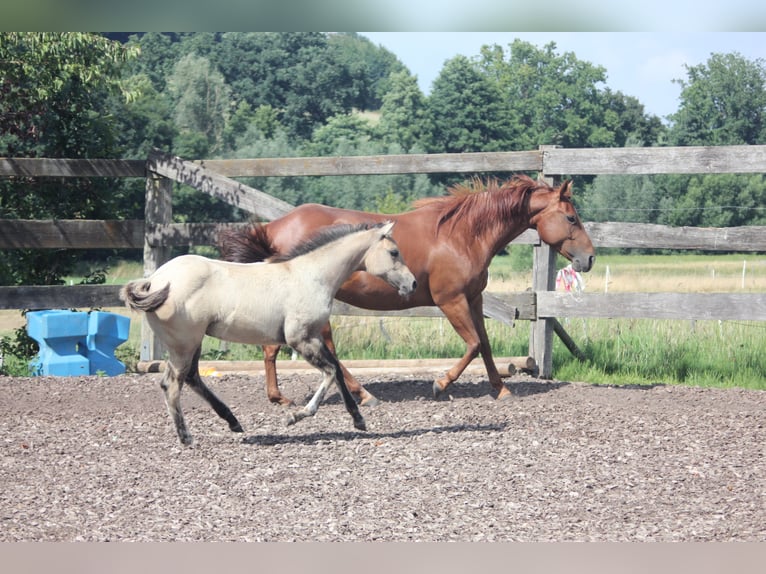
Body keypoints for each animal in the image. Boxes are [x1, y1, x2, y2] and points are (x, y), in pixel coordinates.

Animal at [121, 221, 416, 445]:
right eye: (393, 252)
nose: (412, 283)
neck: (311, 275)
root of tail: (154, 281)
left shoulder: (314, 336)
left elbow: (337, 371)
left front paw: (358, 419)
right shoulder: (299, 338)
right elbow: (332, 372)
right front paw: (296, 416)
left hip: (192, 343)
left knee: (192, 378)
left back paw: (233, 422)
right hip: (184, 343)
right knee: (172, 384)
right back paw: (187, 437)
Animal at [219, 175, 596, 407]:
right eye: (571, 218)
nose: (590, 258)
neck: (462, 234)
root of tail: (274, 227)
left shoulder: (473, 299)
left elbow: (486, 346)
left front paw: (501, 390)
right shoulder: (450, 301)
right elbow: (473, 345)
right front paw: (441, 384)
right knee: (299, 349)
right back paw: (348, 395)